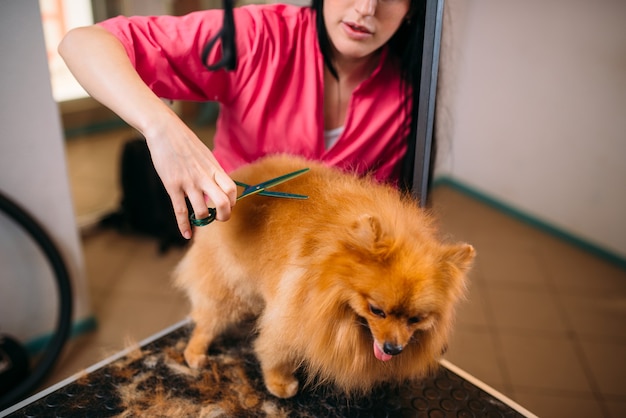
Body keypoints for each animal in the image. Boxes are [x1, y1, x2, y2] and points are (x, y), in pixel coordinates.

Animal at [172, 154, 472, 398]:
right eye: (376, 311)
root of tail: (247, 173)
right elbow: (277, 348)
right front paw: (279, 382)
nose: (393, 349)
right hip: (228, 285)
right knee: (208, 319)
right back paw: (195, 352)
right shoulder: (294, 308)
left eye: (416, 320)